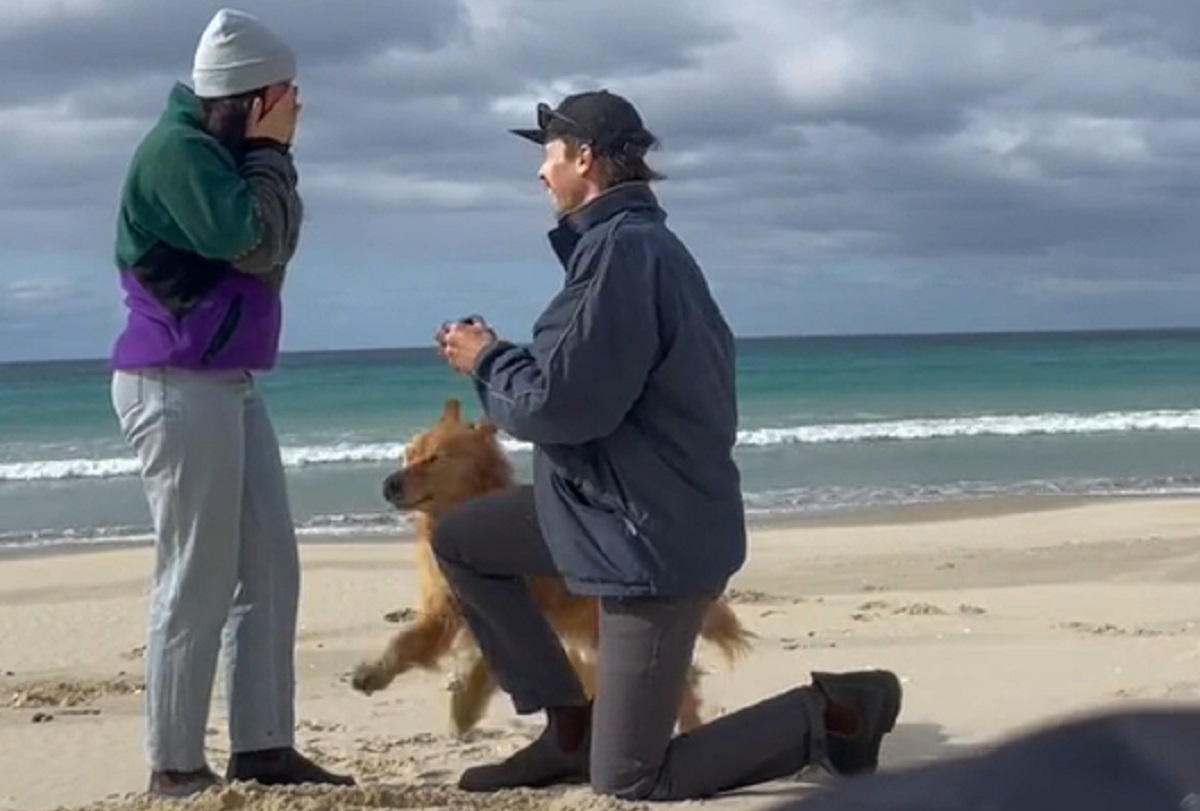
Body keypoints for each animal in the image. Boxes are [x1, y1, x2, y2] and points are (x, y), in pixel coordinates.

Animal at [350, 395, 753, 739]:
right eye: (408, 455)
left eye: (435, 459)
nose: (388, 485)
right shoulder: (444, 609)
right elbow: (404, 642)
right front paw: (373, 673)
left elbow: (486, 659)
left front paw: (464, 706)